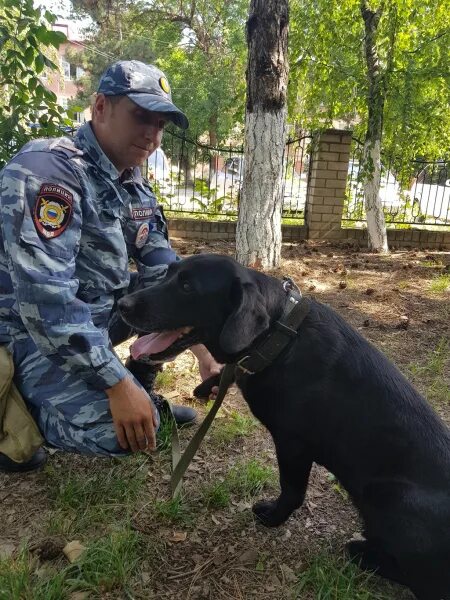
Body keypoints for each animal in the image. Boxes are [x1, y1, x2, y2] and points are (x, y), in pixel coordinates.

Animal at [119, 253, 450, 600]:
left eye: (186, 287)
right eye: (168, 273)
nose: (122, 303)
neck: (279, 338)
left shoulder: (293, 445)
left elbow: (291, 489)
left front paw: (274, 517)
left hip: (388, 495)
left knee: (422, 579)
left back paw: (364, 553)